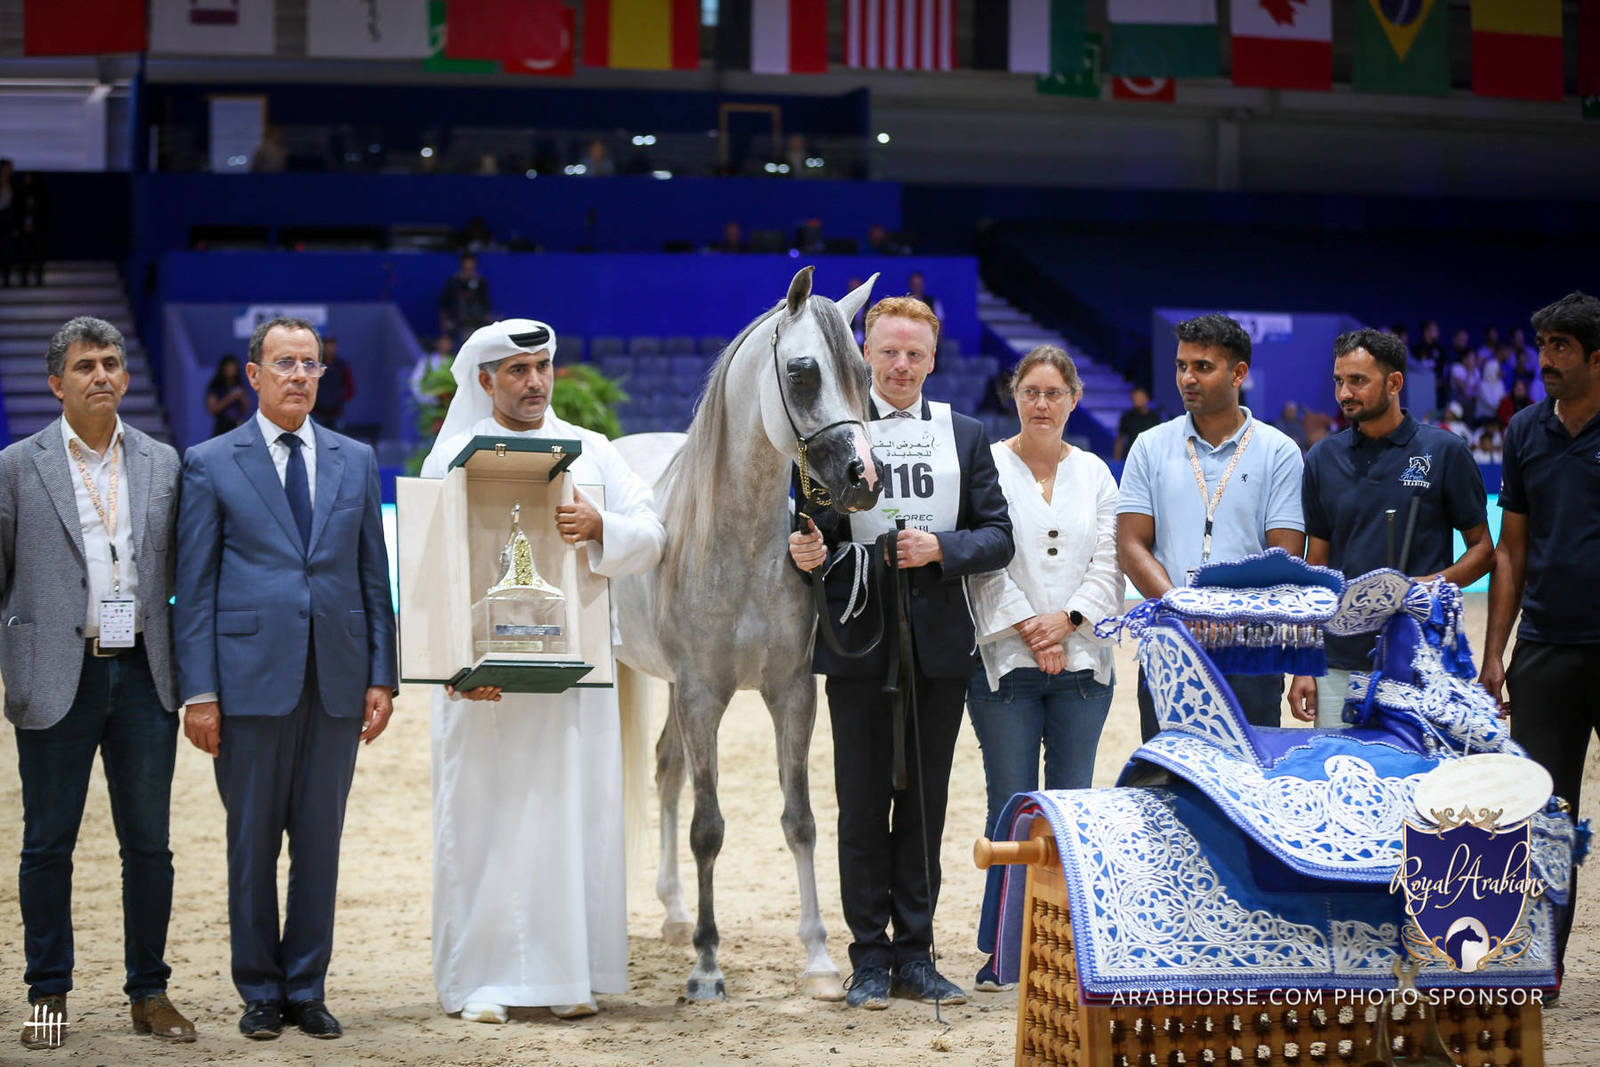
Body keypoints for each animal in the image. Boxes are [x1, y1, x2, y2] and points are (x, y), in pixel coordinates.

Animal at [612, 266, 882, 1001]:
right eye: (802, 371)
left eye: (862, 373)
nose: (864, 478)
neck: (736, 547)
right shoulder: (703, 694)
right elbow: (708, 828)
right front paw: (707, 967)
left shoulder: (789, 692)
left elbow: (801, 819)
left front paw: (819, 958)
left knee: (665, 768)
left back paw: (675, 912)